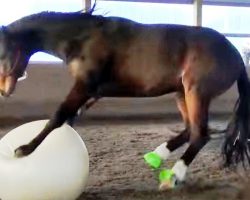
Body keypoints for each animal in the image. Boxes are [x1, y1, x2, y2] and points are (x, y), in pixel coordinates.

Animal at [0, 10, 250, 189]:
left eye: (1, 54)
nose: (4, 91)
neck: (83, 39)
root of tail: (236, 56)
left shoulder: (84, 87)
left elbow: (58, 117)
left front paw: (25, 149)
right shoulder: (91, 93)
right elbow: (69, 120)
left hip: (196, 93)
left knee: (200, 134)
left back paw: (173, 176)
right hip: (182, 94)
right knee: (190, 130)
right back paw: (156, 155)